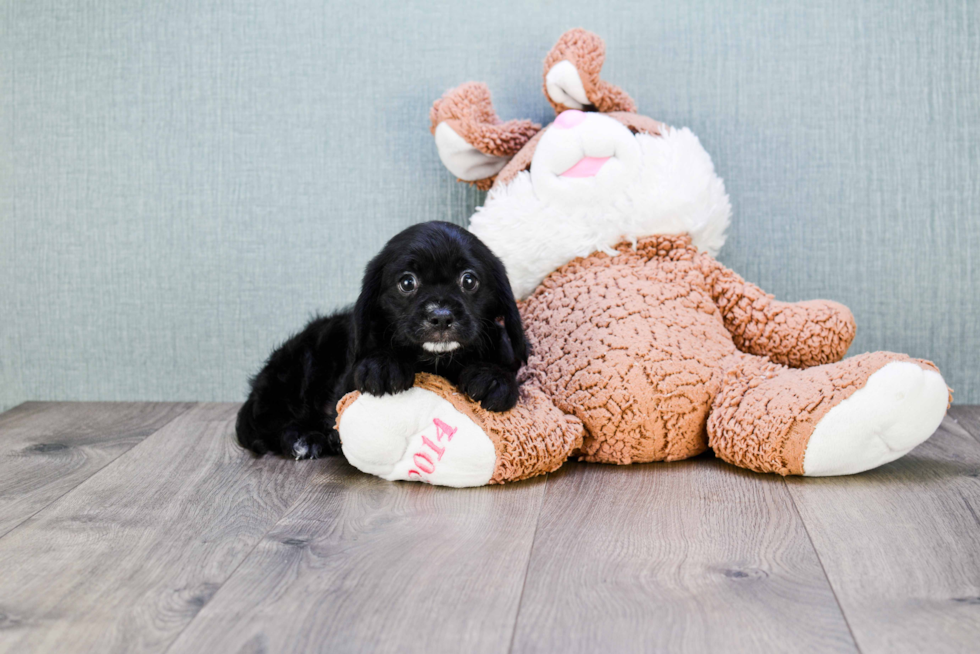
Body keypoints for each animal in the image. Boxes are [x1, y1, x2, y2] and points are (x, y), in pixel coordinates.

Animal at [235, 220, 528, 462]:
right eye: (407, 282)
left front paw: (493, 379)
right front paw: (383, 366)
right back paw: (303, 440)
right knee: (272, 423)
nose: (441, 316)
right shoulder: (343, 389)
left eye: (468, 280)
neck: (437, 361)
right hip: (300, 365)